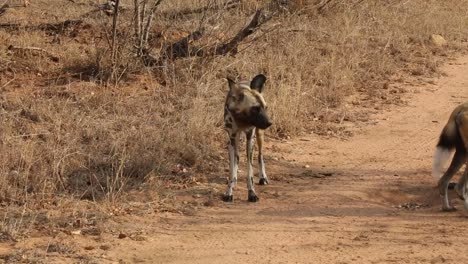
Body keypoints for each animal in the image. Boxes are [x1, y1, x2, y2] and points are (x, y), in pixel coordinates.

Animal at [224, 74, 272, 202]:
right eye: (255, 108)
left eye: (265, 108)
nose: (270, 123)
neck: (242, 120)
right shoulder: (232, 138)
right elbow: (232, 168)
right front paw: (229, 192)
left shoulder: (250, 138)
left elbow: (250, 173)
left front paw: (252, 194)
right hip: (232, 142)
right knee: (236, 158)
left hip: (259, 136)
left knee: (260, 155)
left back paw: (263, 177)